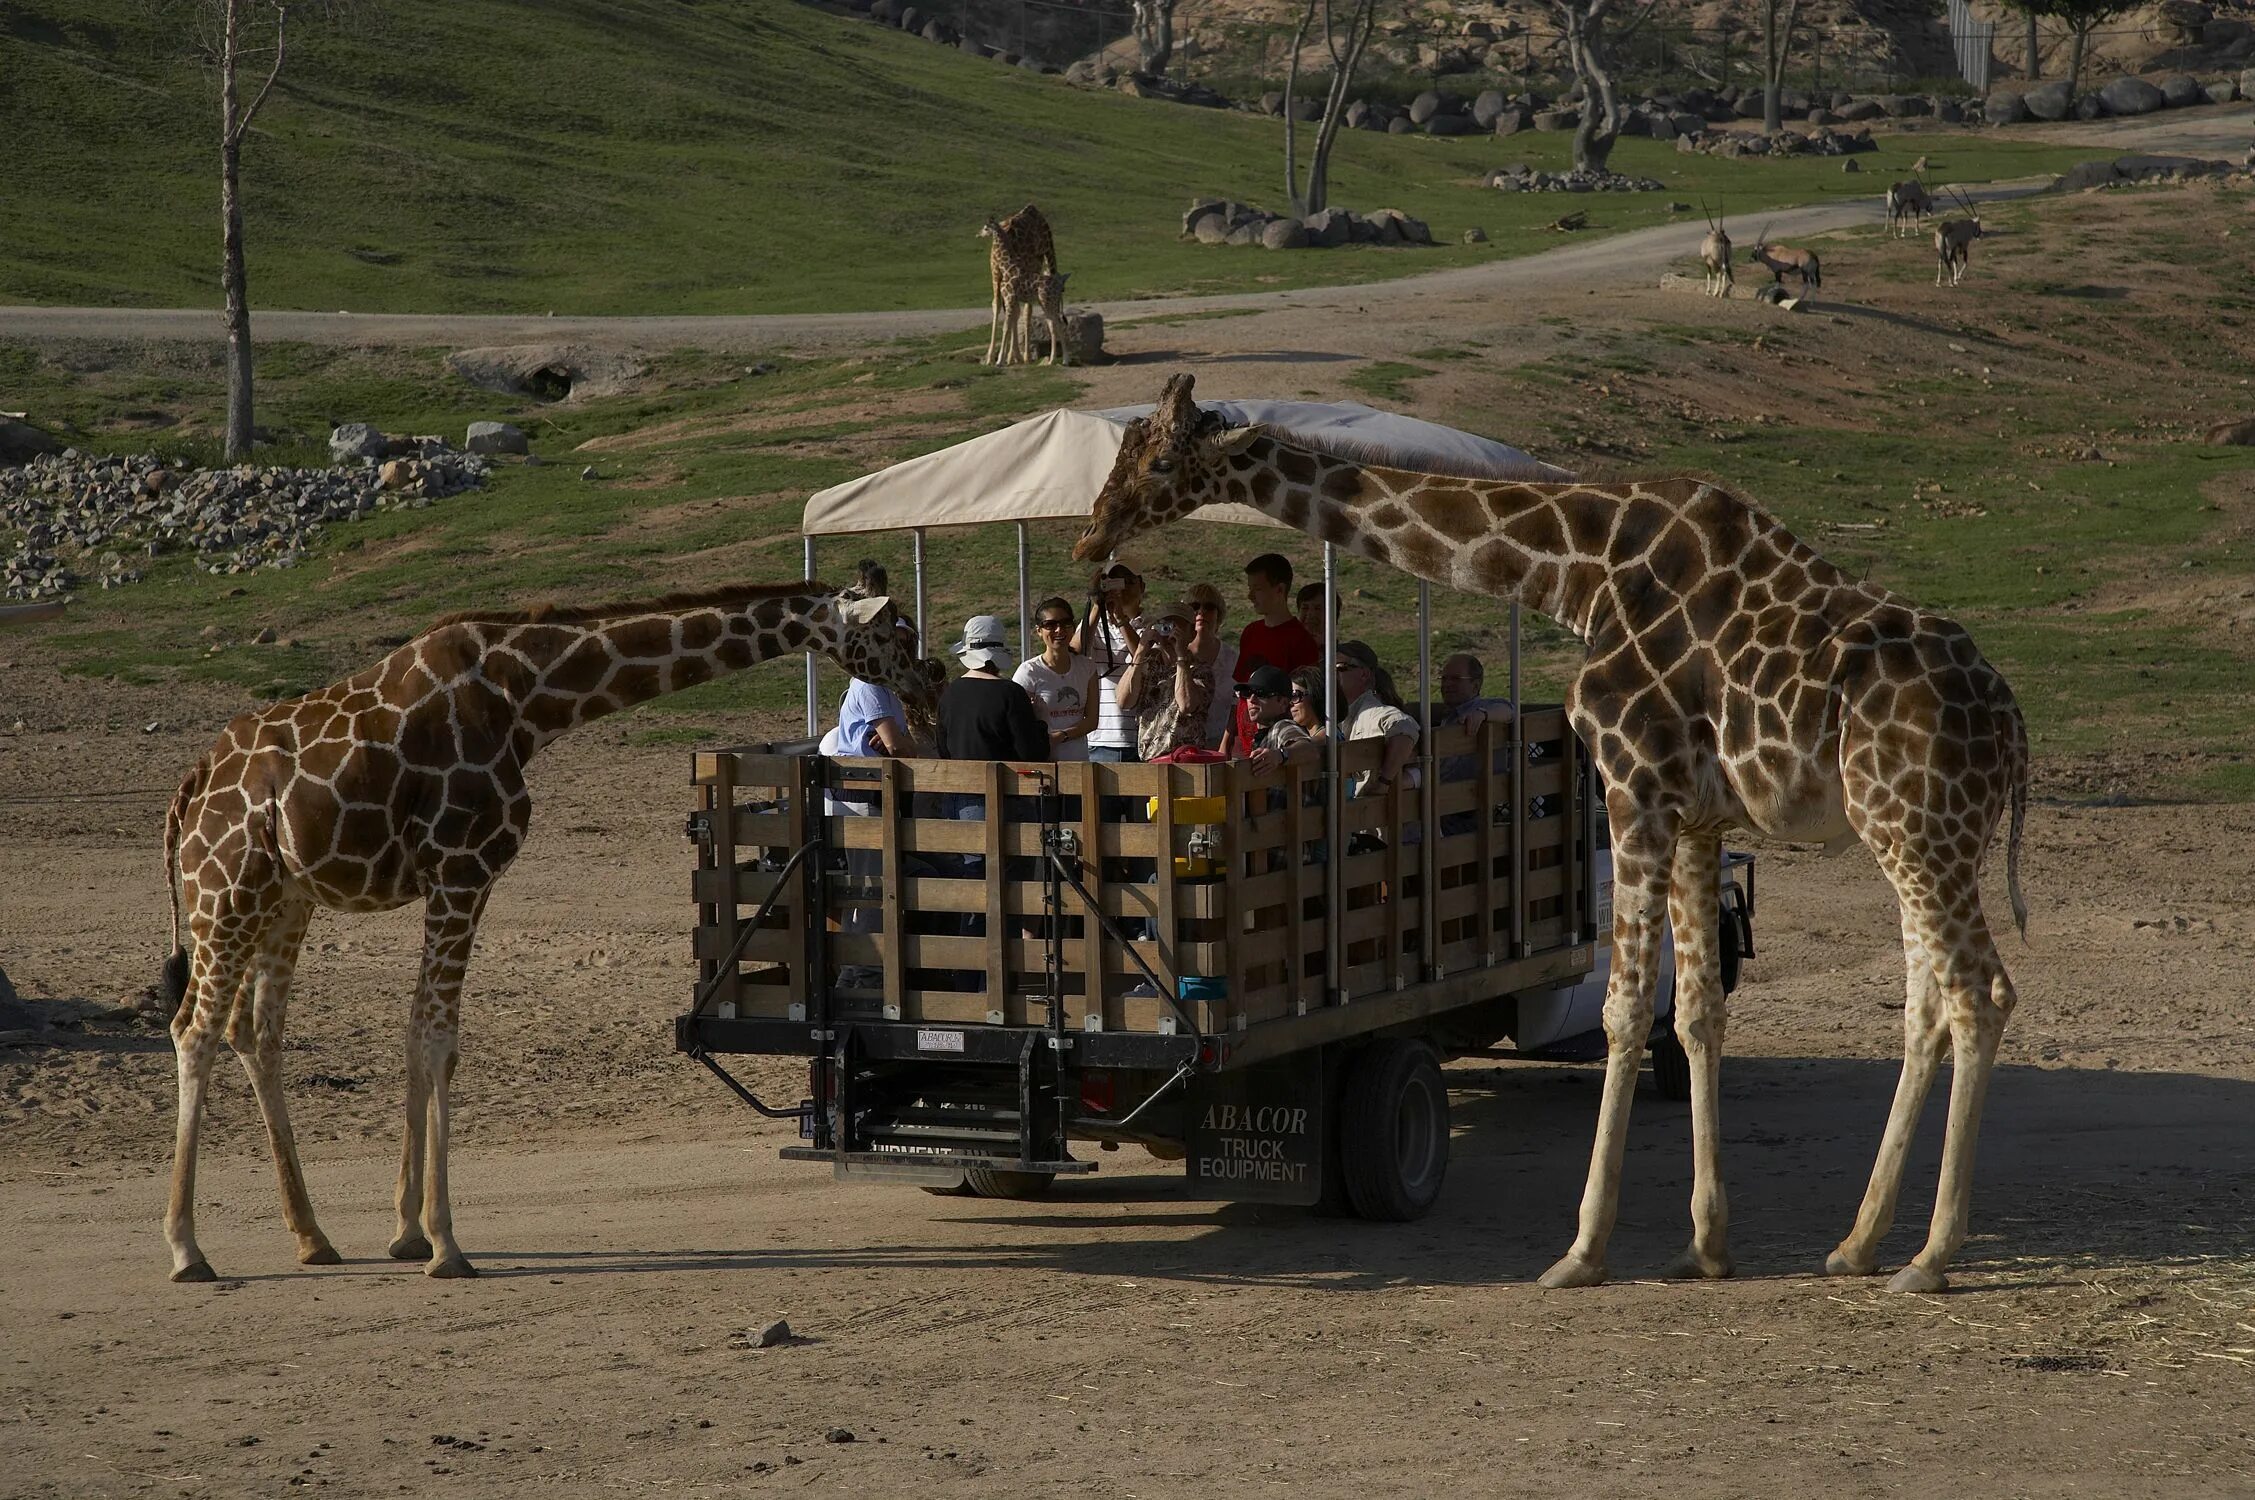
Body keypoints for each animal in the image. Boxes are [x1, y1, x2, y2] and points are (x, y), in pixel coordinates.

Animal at [152, 577, 942, 1281]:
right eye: (892, 633)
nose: (930, 690)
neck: (528, 703)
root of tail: (189, 790)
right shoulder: (463, 870)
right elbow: (438, 1041)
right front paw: (447, 1244)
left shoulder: (451, 880)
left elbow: (416, 1035)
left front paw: (406, 1232)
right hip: (225, 891)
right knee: (195, 1028)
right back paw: (188, 1250)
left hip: (286, 899)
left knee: (254, 1031)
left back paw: (311, 1237)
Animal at [978, 201, 1055, 365]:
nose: (978, 233)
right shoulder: (1033, 269)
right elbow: (1027, 311)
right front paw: (1023, 356)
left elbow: (1015, 310)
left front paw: (1011, 356)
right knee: (1013, 309)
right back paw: (1012, 356)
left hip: (995, 271)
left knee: (997, 304)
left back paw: (992, 357)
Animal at [1064, 372, 2038, 1290]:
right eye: (1122, 451)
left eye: (1160, 463)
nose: (1089, 537)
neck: (1577, 573)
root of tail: (2009, 721)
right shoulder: (1695, 816)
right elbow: (1694, 1013)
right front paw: (1704, 1247)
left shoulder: (1632, 783)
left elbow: (1621, 1010)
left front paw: (1582, 1249)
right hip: (1910, 834)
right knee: (1925, 1006)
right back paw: (1857, 1243)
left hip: (1918, 826)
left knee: (1978, 994)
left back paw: (1929, 1257)